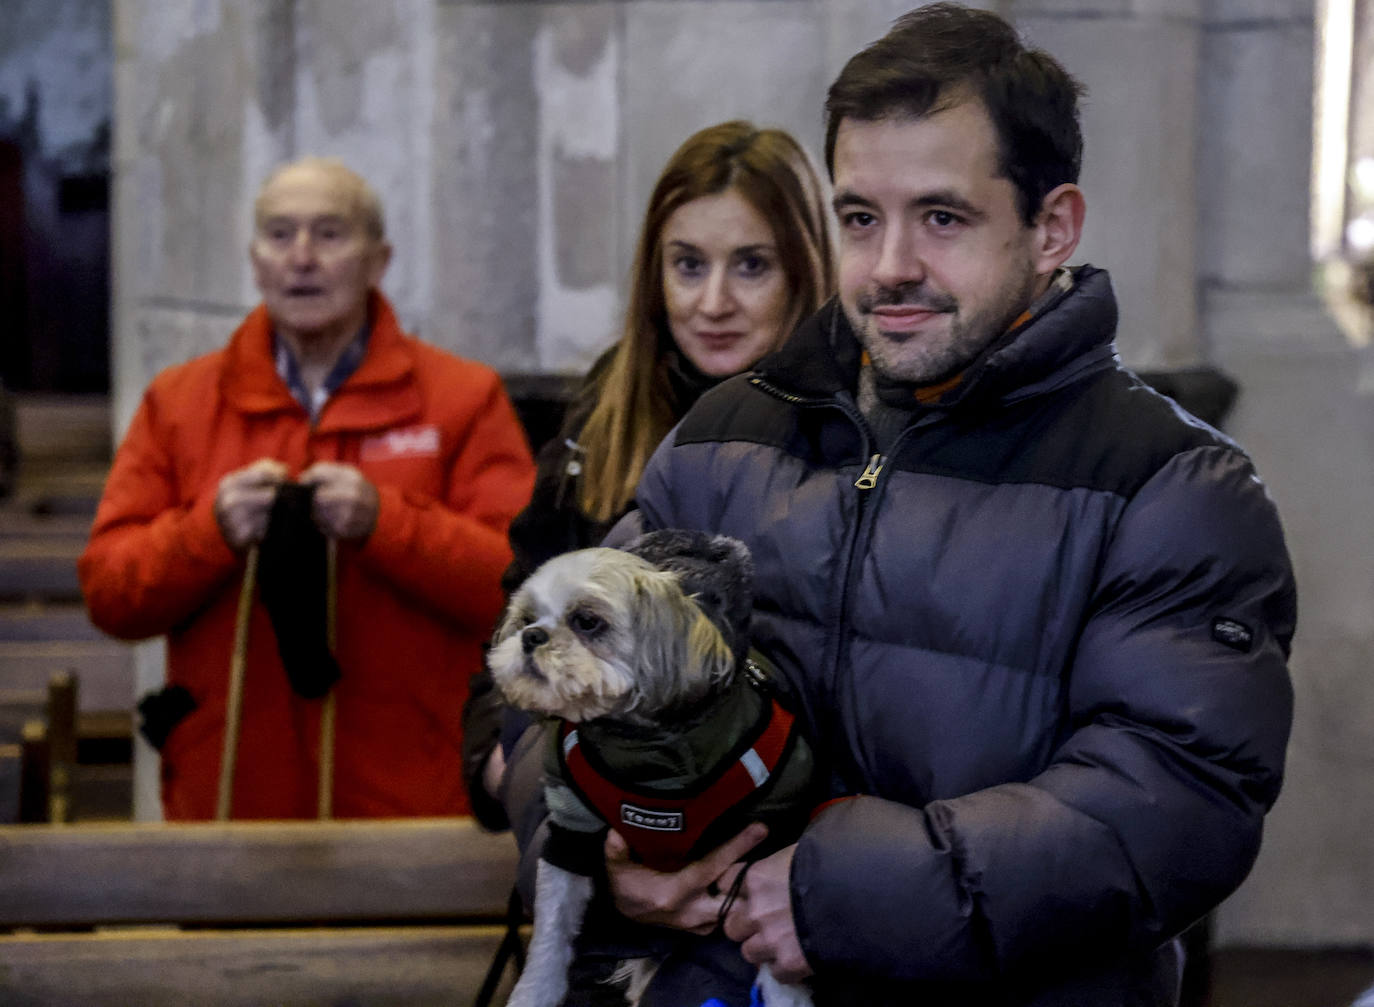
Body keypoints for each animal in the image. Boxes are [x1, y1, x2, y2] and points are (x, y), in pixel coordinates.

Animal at [489, 530, 813, 1000]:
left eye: (587, 621)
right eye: (526, 617)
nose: (531, 636)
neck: (653, 757)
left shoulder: (767, 839)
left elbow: (773, 944)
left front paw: (787, 998)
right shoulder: (573, 831)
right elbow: (551, 935)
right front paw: (534, 994)